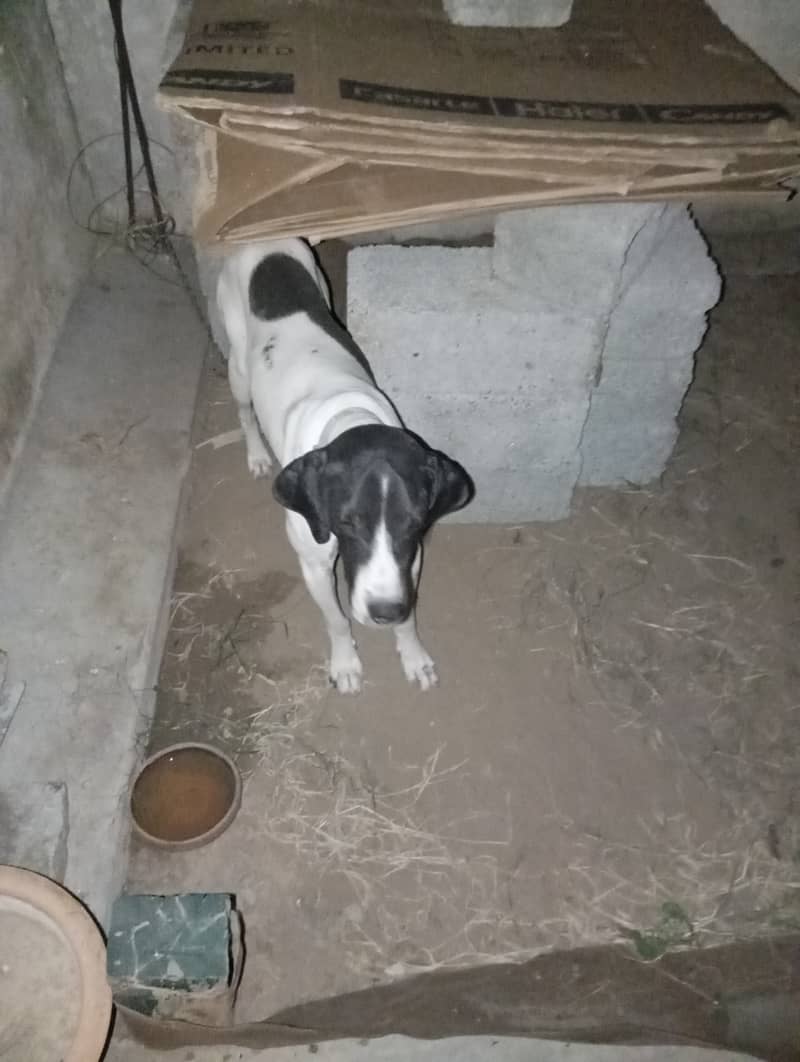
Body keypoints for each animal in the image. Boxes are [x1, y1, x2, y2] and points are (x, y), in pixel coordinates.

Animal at [215, 237, 471, 692]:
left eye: (412, 522)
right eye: (349, 522)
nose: (384, 612)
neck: (349, 414)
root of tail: (263, 239)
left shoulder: (411, 558)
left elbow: (410, 616)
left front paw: (413, 655)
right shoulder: (315, 565)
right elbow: (335, 619)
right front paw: (346, 663)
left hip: (323, 288)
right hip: (239, 371)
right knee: (245, 411)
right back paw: (257, 453)